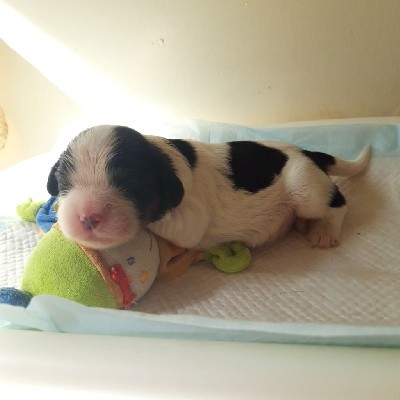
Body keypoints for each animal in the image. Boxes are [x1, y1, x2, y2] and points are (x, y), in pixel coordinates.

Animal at [48, 125, 370, 250]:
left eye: (129, 184)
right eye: (64, 183)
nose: (87, 218)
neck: (160, 156)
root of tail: (306, 152)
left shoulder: (189, 217)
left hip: (305, 188)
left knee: (338, 202)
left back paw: (324, 232)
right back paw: (303, 224)